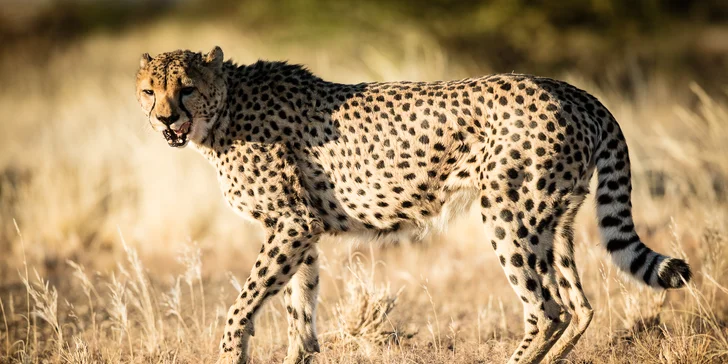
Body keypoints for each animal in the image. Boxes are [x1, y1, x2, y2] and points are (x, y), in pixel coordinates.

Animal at [136, 47, 692, 362]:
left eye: (187, 89)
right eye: (148, 91)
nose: (164, 119)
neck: (225, 111)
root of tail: (572, 90)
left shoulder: (291, 223)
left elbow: (242, 306)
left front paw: (232, 348)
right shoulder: (302, 231)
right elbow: (300, 311)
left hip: (509, 213)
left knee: (546, 310)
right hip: (554, 220)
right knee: (579, 307)